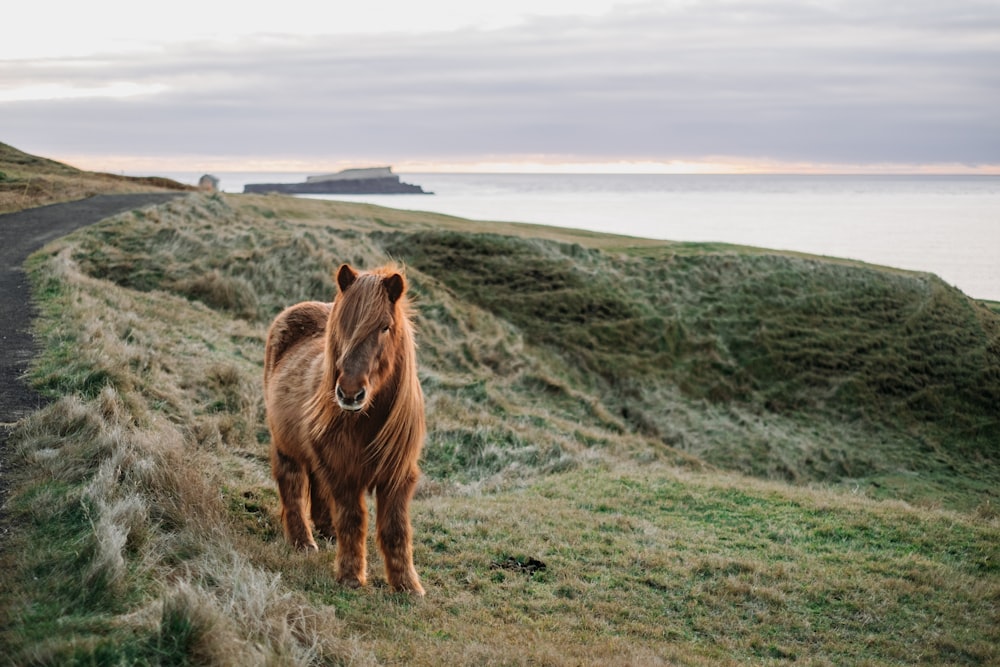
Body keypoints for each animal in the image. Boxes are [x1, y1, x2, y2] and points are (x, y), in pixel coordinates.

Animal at [264, 262, 424, 596]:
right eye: (342, 326)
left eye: (385, 327)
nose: (350, 393)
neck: (367, 421)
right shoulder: (344, 472)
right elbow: (353, 520)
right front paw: (351, 576)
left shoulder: (398, 475)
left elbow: (396, 529)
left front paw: (408, 585)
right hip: (285, 445)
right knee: (293, 485)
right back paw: (303, 542)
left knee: (316, 485)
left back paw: (326, 531)